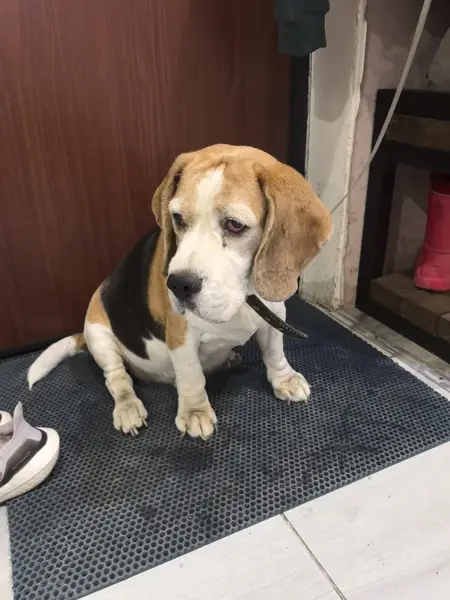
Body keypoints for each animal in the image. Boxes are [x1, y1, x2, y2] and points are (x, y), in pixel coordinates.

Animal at [28, 144, 332, 439]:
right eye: (177, 218)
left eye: (234, 225)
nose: (178, 284)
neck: (243, 297)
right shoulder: (181, 336)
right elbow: (191, 375)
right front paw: (195, 413)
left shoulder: (275, 313)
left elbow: (274, 350)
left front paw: (284, 379)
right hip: (98, 333)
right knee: (117, 378)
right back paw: (128, 408)